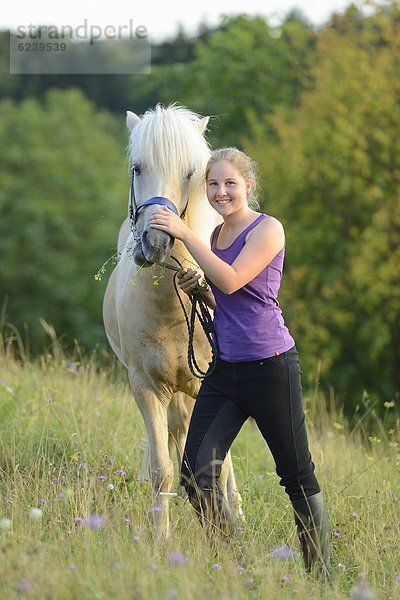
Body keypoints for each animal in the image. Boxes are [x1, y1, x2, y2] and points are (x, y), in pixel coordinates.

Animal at [102, 104, 241, 540]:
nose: (157, 243)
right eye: (137, 167)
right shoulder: (146, 387)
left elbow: (215, 466)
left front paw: (224, 528)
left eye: (190, 174)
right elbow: (162, 470)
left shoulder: (206, 390)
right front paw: (160, 541)